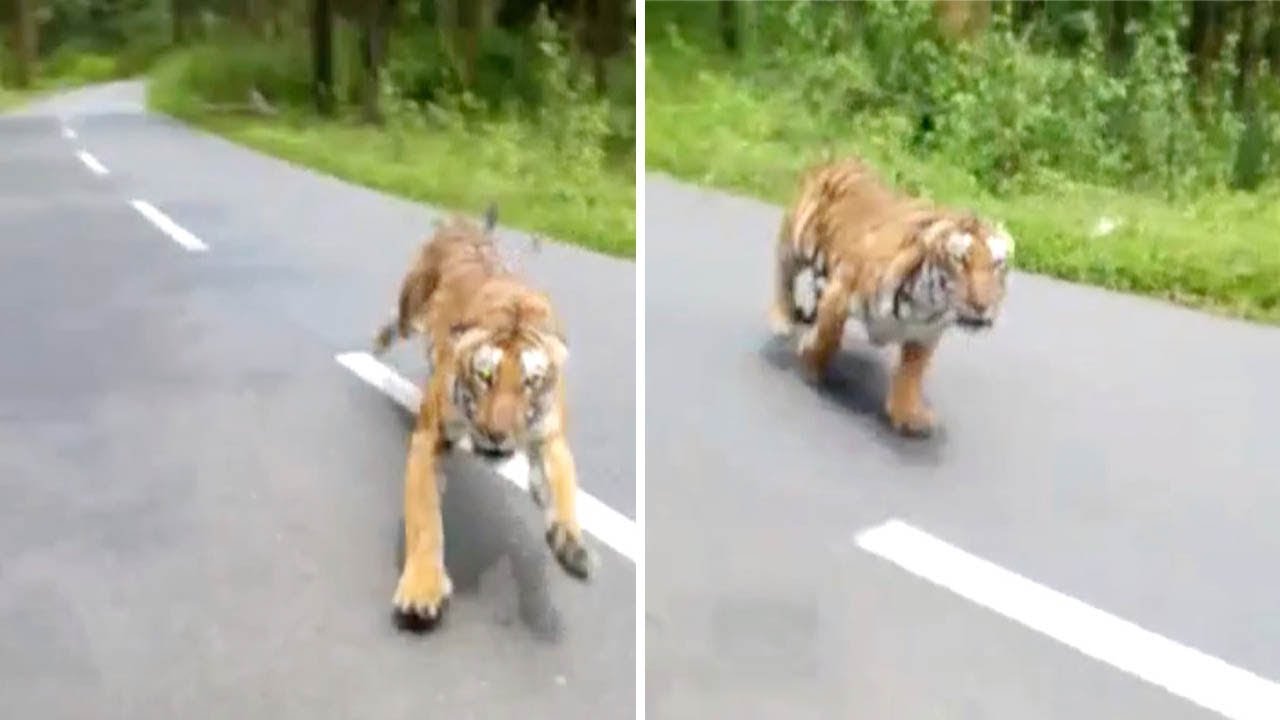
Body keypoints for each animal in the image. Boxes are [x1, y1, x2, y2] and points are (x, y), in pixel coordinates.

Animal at [371, 202, 588, 622]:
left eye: (530, 382)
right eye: (485, 376)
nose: (496, 434)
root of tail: (465, 223)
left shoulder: (549, 435)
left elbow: (563, 488)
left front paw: (570, 544)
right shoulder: (432, 434)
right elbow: (425, 518)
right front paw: (421, 589)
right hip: (412, 306)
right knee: (397, 318)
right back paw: (377, 343)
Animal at [768, 156, 1008, 435]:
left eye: (997, 264)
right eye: (960, 260)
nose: (982, 305)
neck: (926, 305)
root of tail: (839, 159)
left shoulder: (926, 334)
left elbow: (911, 373)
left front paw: (908, 414)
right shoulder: (840, 292)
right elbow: (829, 337)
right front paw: (812, 365)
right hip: (795, 239)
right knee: (784, 275)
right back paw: (781, 319)